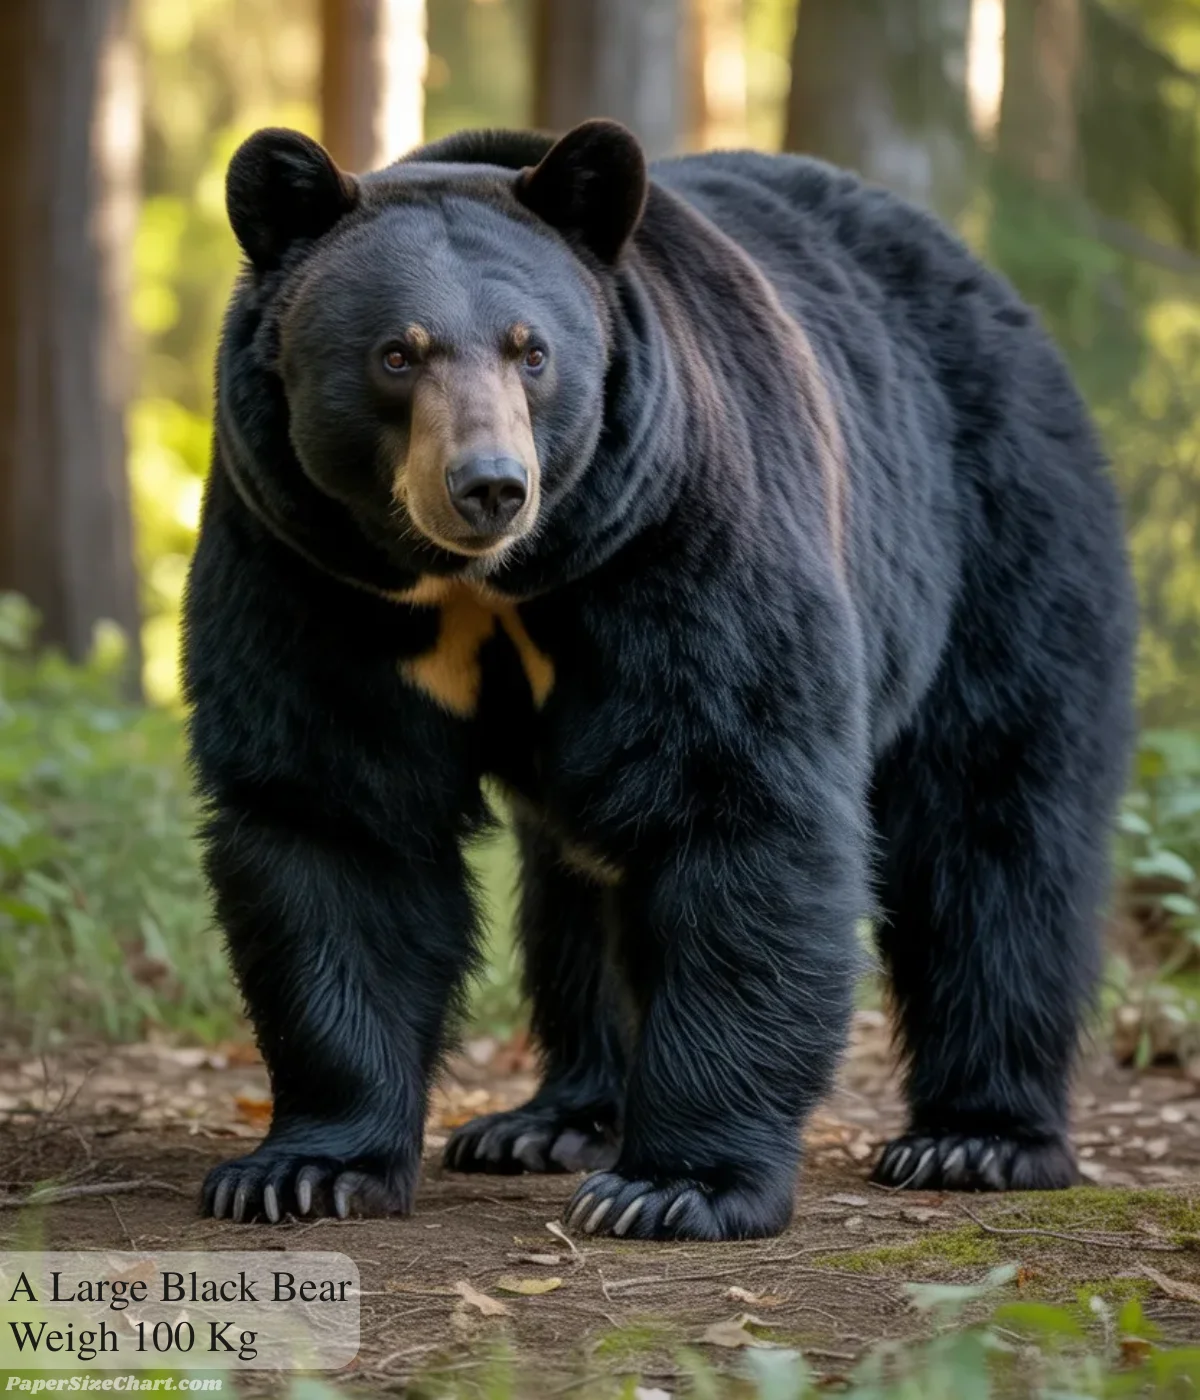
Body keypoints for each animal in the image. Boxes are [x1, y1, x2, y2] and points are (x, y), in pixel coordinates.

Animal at [184, 117, 1136, 1240]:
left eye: (532, 350)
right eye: (397, 352)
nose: (490, 486)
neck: (489, 586)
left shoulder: (679, 535)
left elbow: (737, 796)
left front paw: (677, 1184)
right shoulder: (306, 569)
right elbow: (331, 814)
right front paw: (302, 1168)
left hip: (1000, 537)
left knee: (995, 823)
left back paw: (974, 1136)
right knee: (575, 881)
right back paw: (551, 1119)